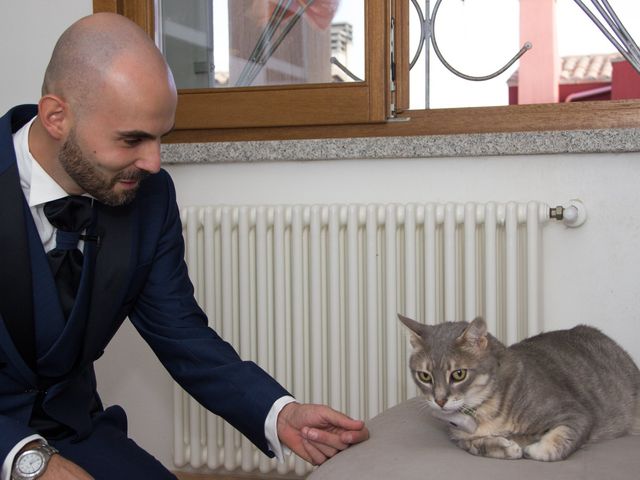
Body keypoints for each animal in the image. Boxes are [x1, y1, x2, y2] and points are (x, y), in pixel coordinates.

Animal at [400, 316, 640, 462]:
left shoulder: (575, 412)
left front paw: (535, 447)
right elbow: (475, 446)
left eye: (458, 374)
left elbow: (561, 438)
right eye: (424, 376)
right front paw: (505, 446)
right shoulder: (459, 436)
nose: (439, 400)